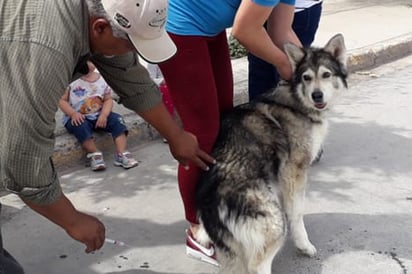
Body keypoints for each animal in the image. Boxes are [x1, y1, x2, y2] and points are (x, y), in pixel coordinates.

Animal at [196, 34, 348, 274]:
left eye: (326, 74)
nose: (317, 95)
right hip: (273, 226)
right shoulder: (294, 171)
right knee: (258, 265)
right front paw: (304, 245)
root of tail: (210, 202)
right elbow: (296, 213)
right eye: (306, 77)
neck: (297, 100)